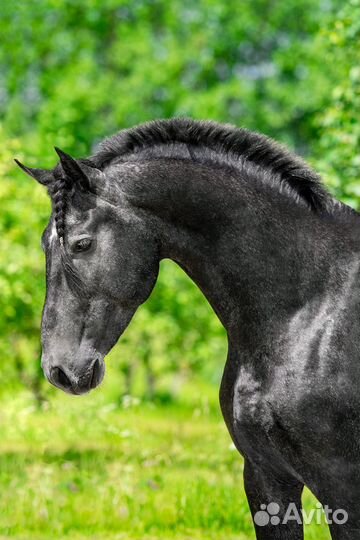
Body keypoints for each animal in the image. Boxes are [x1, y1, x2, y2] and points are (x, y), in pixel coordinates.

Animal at [16, 119, 360, 540]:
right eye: (44, 244)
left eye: (82, 244)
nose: (59, 370)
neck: (310, 306)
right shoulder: (267, 478)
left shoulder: (342, 486)